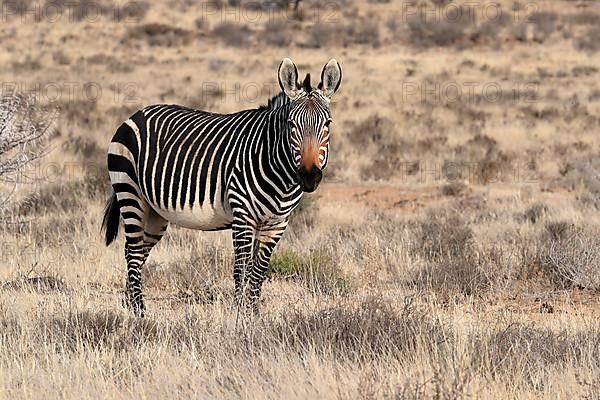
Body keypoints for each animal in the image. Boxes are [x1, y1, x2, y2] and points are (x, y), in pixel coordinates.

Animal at [103, 59, 342, 316]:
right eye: (291, 124)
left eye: (328, 124)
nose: (309, 176)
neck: (281, 177)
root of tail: (136, 114)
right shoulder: (243, 217)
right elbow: (242, 270)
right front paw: (238, 315)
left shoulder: (277, 223)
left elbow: (259, 271)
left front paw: (253, 314)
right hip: (130, 193)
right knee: (133, 251)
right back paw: (140, 311)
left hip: (154, 212)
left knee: (138, 251)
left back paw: (130, 304)